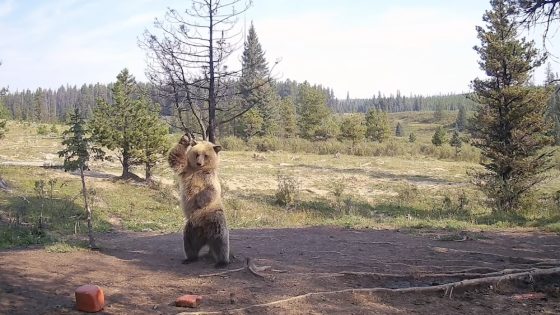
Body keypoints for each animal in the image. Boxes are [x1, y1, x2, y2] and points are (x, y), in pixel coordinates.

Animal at [167, 135, 229, 268]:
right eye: (197, 154)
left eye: (206, 155)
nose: (199, 163)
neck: (198, 171)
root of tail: (206, 237)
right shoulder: (186, 170)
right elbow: (175, 158)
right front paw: (185, 139)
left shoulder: (209, 179)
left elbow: (210, 191)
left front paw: (199, 200)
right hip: (192, 228)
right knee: (190, 243)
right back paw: (190, 258)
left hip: (214, 218)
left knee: (221, 240)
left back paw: (222, 262)